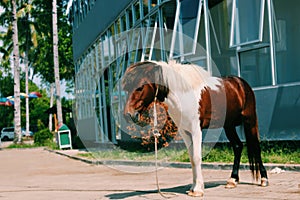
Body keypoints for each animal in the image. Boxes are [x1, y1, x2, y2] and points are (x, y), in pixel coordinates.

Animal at [122, 60, 270, 196]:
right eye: (127, 89)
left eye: (140, 88)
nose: (128, 115)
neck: (183, 95)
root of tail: (240, 83)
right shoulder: (185, 132)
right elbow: (192, 158)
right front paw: (193, 188)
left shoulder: (196, 130)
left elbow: (197, 157)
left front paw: (198, 189)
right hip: (229, 125)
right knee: (238, 146)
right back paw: (232, 180)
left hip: (250, 121)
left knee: (255, 147)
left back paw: (264, 180)